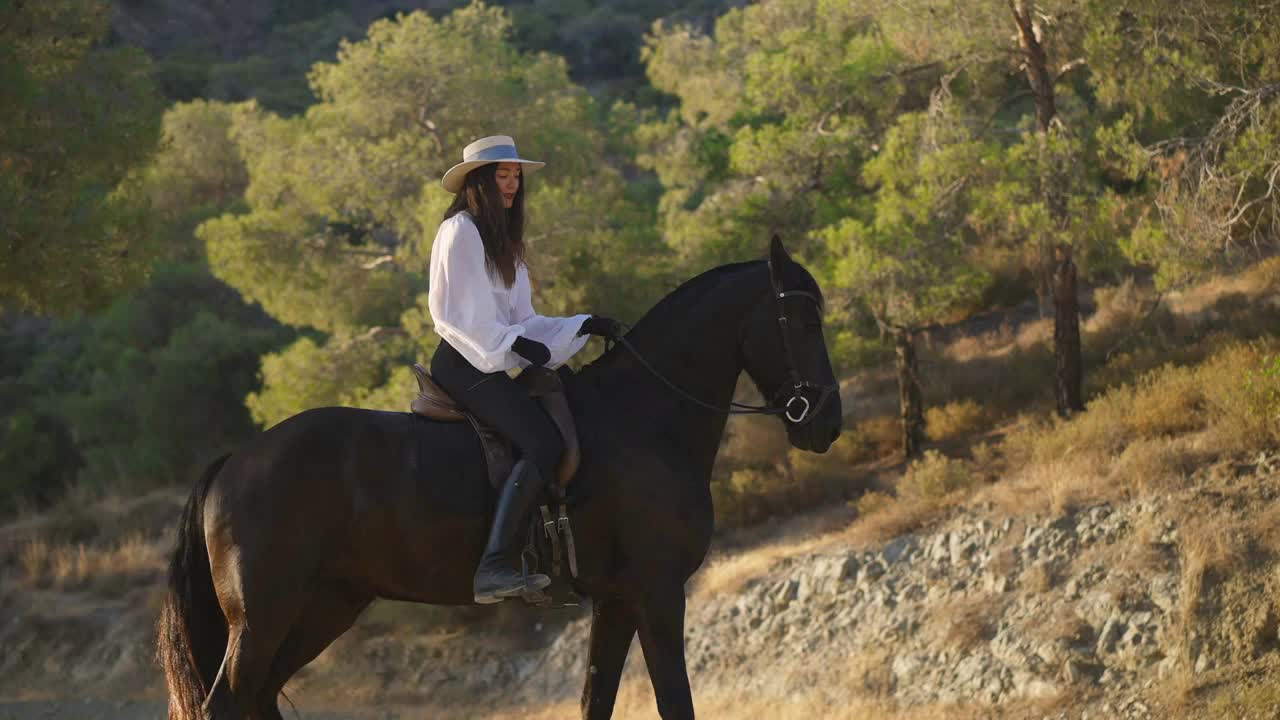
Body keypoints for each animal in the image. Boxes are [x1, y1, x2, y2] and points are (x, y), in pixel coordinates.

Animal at [157, 234, 839, 712]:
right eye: (805, 321)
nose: (825, 421)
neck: (645, 418)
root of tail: (235, 461)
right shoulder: (658, 592)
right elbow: (675, 703)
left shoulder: (618, 601)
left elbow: (597, 701)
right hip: (262, 617)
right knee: (228, 704)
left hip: (325, 606)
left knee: (257, 700)